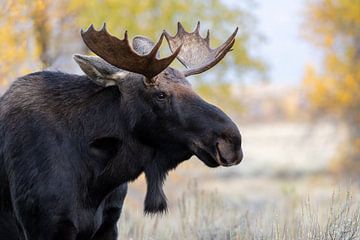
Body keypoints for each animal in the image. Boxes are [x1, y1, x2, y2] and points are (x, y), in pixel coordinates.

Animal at [0, 21, 243, 239]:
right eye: (160, 94)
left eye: (191, 88)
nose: (232, 142)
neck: (97, 182)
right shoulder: (45, 224)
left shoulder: (109, 223)